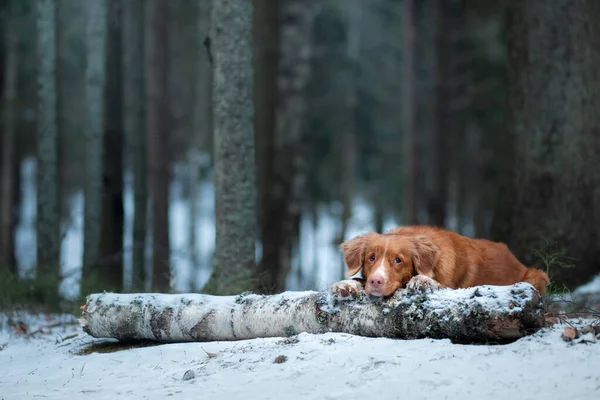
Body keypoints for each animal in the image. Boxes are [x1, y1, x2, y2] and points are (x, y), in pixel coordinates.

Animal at [330, 225, 552, 296]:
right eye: (371, 258)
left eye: (398, 260)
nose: (376, 281)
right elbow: (357, 280)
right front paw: (345, 284)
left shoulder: (453, 286)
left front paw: (422, 280)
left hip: (536, 275)